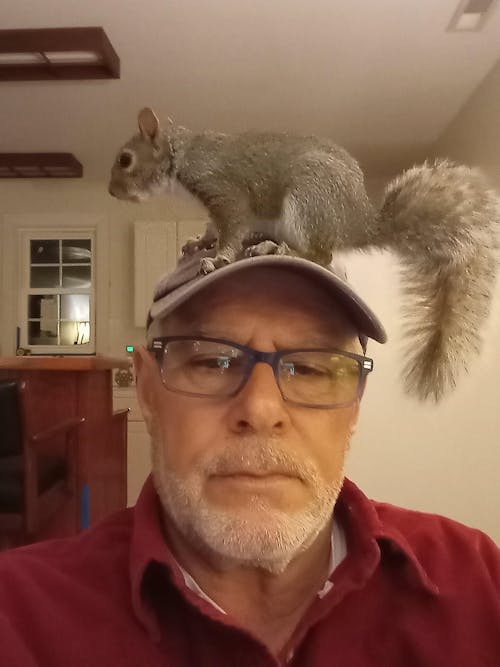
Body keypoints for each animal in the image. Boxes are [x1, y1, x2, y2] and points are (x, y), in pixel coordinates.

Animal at [109, 107, 500, 403]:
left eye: (125, 159)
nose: (111, 191)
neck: (183, 155)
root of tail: (356, 223)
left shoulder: (225, 191)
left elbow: (231, 228)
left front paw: (218, 257)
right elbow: (211, 228)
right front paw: (197, 242)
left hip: (308, 199)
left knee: (320, 254)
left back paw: (275, 247)